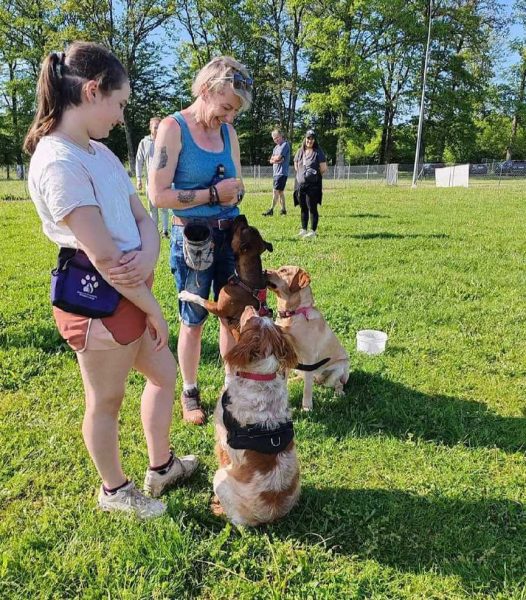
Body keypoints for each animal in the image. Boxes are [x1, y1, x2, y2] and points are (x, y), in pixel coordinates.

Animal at [211, 304, 302, 524]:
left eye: (251, 320)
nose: (252, 306)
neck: (261, 376)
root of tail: (270, 515)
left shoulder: (222, 437)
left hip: (219, 478)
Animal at [268, 264, 350, 410]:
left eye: (283, 271)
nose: (264, 270)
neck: (291, 314)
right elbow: (285, 380)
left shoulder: (309, 358)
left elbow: (307, 389)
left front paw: (307, 408)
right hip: (298, 367)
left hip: (339, 369)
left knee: (337, 384)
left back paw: (338, 393)